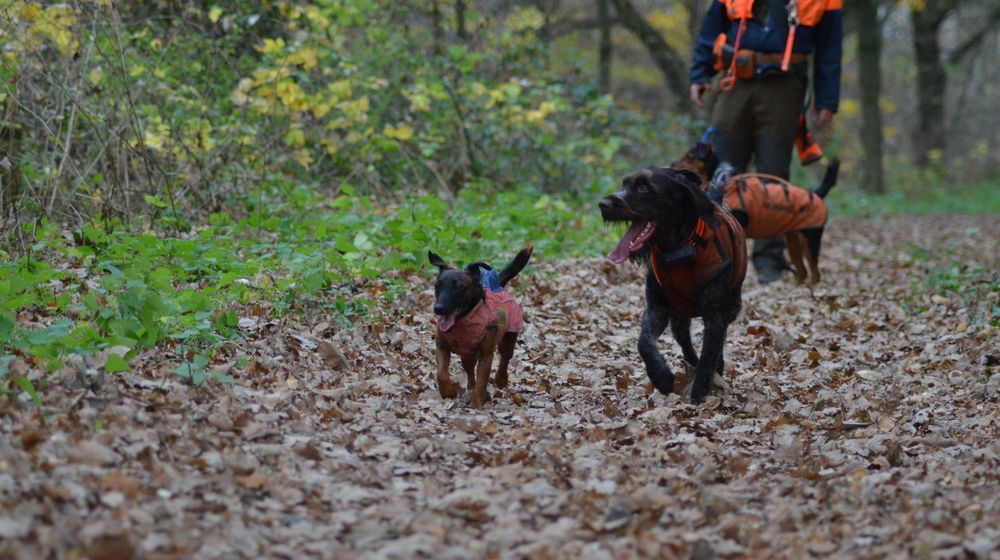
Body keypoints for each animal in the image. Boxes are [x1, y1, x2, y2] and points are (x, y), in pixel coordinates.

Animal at [426, 247, 532, 410]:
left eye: (458, 286)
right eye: (437, 286)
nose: (438, 308)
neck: (463, 321)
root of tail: (497, 286)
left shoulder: (486, 355)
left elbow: (482, 382)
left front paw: (476, 405)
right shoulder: (441, 347)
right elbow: (441, 374)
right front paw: (448, 391)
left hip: (508, 338)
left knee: (505, 358)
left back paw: (500, 379)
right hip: (467, 354)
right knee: (470, 371)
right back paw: (471, 387)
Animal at [596, 166, 748, 402]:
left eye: (644, 188)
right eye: (624, 184)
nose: (603, 204)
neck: (677, 249)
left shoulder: (715, 315)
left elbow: (708, 358)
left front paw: (697, 397)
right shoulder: (657, 308)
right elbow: (644, 342)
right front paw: (662, 377)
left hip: (730, 308)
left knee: (717, 343)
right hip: (679, 316)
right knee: (685, 342)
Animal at [672, 142, 836, 286]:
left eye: (688, 156)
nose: (672, 164)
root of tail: (815, 194)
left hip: (810, 239)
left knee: (815, 273)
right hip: (793, 240)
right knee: (802, 271)